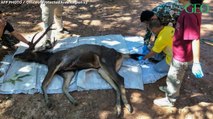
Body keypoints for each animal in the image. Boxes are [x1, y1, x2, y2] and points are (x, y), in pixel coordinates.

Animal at [14, 24, 142, 116]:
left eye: (27, 52)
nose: (16, 55)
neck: (47, 59)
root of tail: (121, 54)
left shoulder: (54, 65)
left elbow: (43, 84)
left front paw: (49, 103)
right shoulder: (68, 72)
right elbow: (64, 87)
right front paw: (74, 101)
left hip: (106, 62)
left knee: (121, 79)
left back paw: (128, 107)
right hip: (101, 70)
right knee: (115, 86)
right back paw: (118, 110)